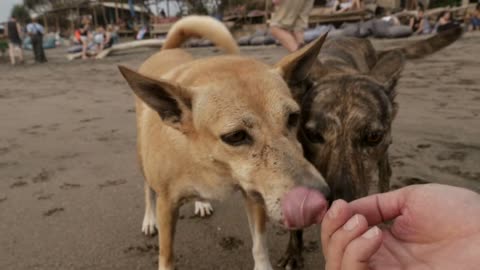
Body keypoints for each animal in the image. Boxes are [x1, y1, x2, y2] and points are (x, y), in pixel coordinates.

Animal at [119, 16, 330, 270]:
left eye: (293, 118)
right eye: (235, 137)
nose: (321, 200)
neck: (212, 163)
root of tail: (167, 50)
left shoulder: (253, 194)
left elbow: (259, 245)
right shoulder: (167, 205)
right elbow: (166, 256)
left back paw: (201, 203)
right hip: (143, 162)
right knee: (147, 190)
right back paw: (149, 219)